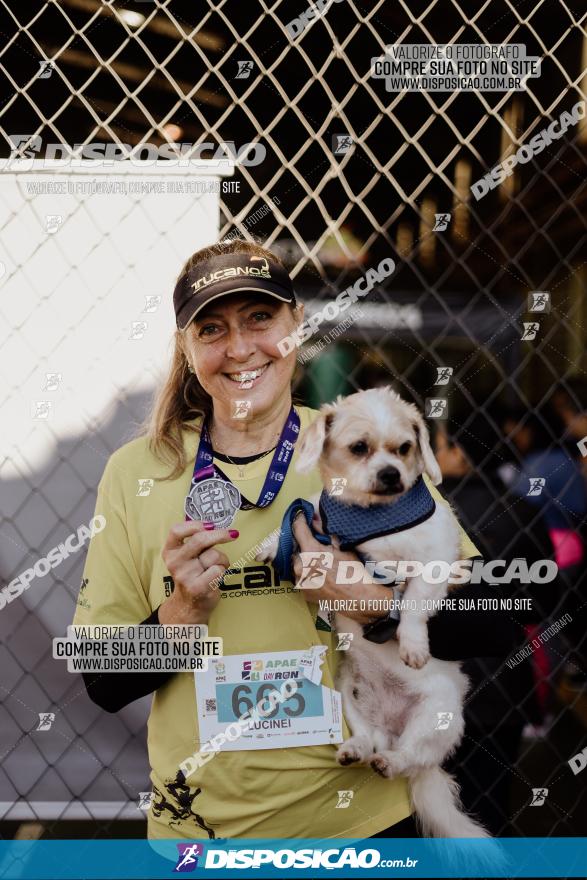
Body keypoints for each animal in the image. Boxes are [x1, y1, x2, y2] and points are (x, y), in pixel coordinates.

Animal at [260, 386, 490, 840]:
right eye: (359, 448)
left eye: (404, 448)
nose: (390, 474)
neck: (369, 517)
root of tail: (392, 730)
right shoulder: (319, 521)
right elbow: (302, 511)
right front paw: (267, 545)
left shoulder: (433, 560)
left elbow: (414, 601)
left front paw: (413, 643)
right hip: (348, 696)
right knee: (368, 739)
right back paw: (355, 748)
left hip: (435, 718)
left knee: (408, 755)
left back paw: (393, 759)